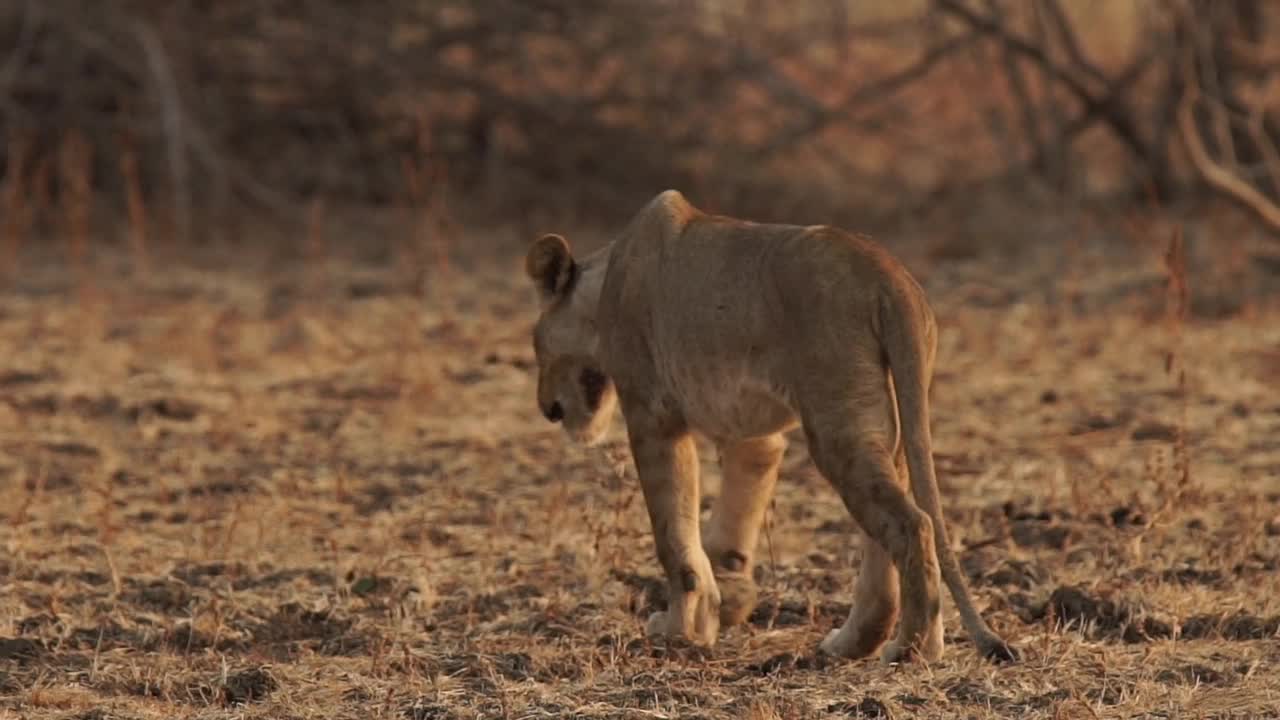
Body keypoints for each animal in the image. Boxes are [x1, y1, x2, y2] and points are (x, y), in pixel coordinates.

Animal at [524, 185, 1013, 661]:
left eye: (535, 344)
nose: (546, 407)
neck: (603, 285)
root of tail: (888, 274)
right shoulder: (754, 434)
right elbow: (733, 513)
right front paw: (722, 602)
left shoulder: (652, 414)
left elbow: (673, 534)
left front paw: (679, 629)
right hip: (885, 424)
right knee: (886, 531)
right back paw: (855, 643)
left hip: (838, 422)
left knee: (913, 525)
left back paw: (913, 648)